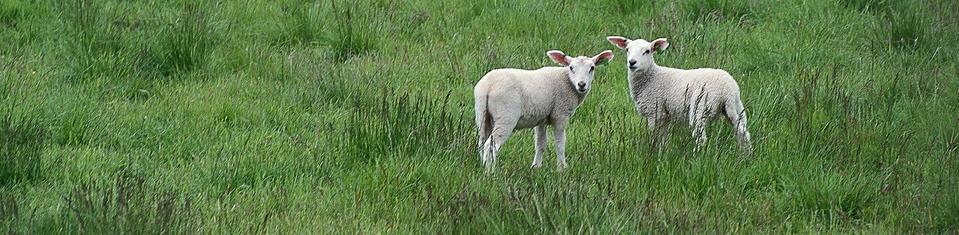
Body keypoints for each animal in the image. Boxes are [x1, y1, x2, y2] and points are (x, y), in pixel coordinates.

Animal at [474, 50, 616, 173]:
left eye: (592, 68)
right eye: (571, 68)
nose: (582, 84)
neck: (568, 82)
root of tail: (488, 86)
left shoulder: (541, 118)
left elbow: (540, 144)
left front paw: (536, 167)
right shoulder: (560, 114)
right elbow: (560, 144)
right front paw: (561, 169)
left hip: (482, 114)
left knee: (481, 142)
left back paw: (483, 167)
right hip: (506, 116)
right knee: (490, 145)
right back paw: (491, 172)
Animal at [608, 35, 752, 151]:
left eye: (647, 51)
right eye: (627, 49)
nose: (632, 62)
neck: (651, 78)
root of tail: (727, 90)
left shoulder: (654, 112)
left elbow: (655, 137)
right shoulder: (664, 116)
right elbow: (663, 139)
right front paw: (663, 153)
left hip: (700, 108)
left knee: (701, 138)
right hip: (736, 108)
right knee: (743, 133)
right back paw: (745, 156)